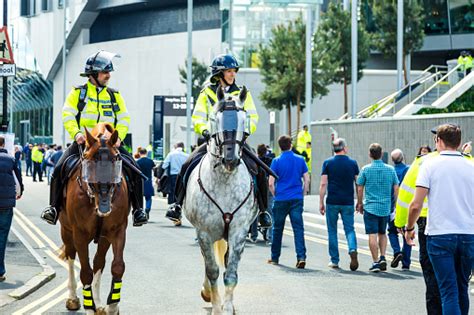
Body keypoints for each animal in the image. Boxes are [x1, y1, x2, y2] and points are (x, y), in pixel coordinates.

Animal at [58, 123, 131, 315]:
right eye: (90, 162)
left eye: (115, 160)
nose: (104, 202)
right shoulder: (80, 234)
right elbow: (85, 272)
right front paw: (89, 306)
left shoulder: (117, 231)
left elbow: (117, 266)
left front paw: (112, 306)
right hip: (66, 231)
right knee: (71, 256)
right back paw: (73, 298)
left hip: (104, 238)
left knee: (99, 261)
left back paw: (98, 303)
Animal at [185, 86, 260, 315]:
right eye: (215, 119)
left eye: (243, 120)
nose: (230, 159)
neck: (225, 180)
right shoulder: (204, 232)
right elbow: (212, 270)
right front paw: (216, 305)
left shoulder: (239, 231)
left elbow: (230, 272)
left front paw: (227, 308)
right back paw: (207, 292)